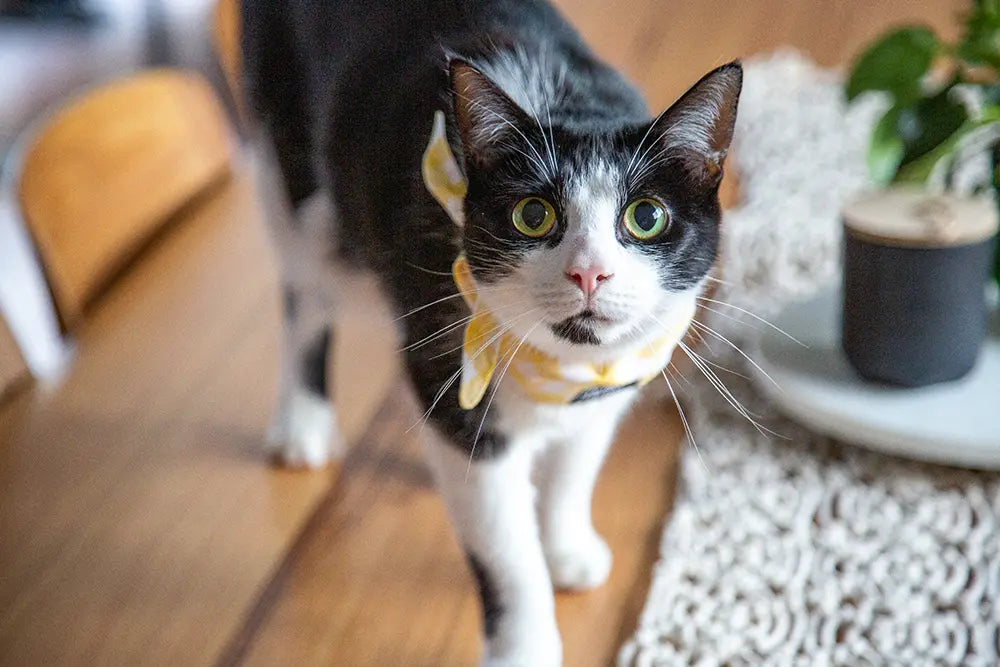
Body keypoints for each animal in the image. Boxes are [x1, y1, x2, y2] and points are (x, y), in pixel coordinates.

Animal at [242, 2, 744, 664]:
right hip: (297, 174)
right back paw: (301, 422)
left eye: (647, 216)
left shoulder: (610, 383)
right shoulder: (448, 373)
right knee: (306, 284)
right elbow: (505, 552)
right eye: (533, 215)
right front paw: (524, 645)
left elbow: (574, 470)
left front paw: (567, 548)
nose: (589, 271)